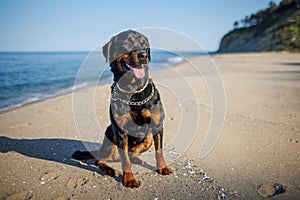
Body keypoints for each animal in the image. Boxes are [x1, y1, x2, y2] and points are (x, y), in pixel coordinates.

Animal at [72, 29, 171, 188]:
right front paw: (129, 179)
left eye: (144, 44)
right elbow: (125, 159)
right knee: (100, 159)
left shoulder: (157, 125)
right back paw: (109, 169)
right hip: (110, 136)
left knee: (131, 154)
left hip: (148, 138)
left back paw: (138, 160)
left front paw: (163, 168)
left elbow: (159, 151)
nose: (143, 55)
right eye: (127, 44)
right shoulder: (119, 130)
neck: (133, 91)